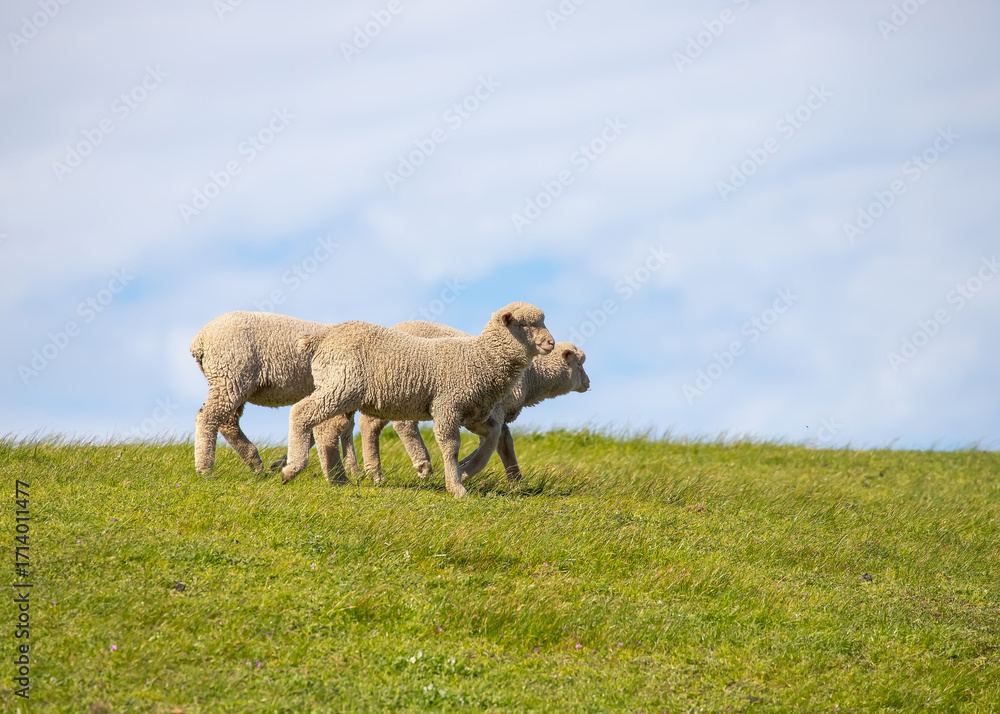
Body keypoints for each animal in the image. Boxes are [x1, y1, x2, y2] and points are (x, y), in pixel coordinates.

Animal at [190, 311, 358, 482]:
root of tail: (200, 340)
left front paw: (281, 463)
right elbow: (342, 427)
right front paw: (353, 470)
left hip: (233, 383)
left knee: (228, 423)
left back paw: (254, 462)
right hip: (230, 375)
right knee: (208, 417)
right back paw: (206, 470)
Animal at [280, 302, 555, 498]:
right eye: (525, 325)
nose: (551, 343)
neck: (482, 357)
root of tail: (325, 336)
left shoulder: (473, 412)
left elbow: (493, 437)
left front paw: (467, 471)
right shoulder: (447, 406)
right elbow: (451, 445)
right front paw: (456, 487)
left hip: (339, 390)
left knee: (325, 429)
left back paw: (337, 478)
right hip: (341, 385)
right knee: (301, 412)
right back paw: (294, 469)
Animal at [360, 320, 589, 483]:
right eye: (579, 364)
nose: (588, 383)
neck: (532, 377)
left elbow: (503, 442)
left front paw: (516, 481)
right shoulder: (493, 409)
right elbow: (497, 442)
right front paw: (464, 471)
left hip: (385, 395)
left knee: (369, 423)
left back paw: (374, 472)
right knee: (403, 424)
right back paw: (422, 464)